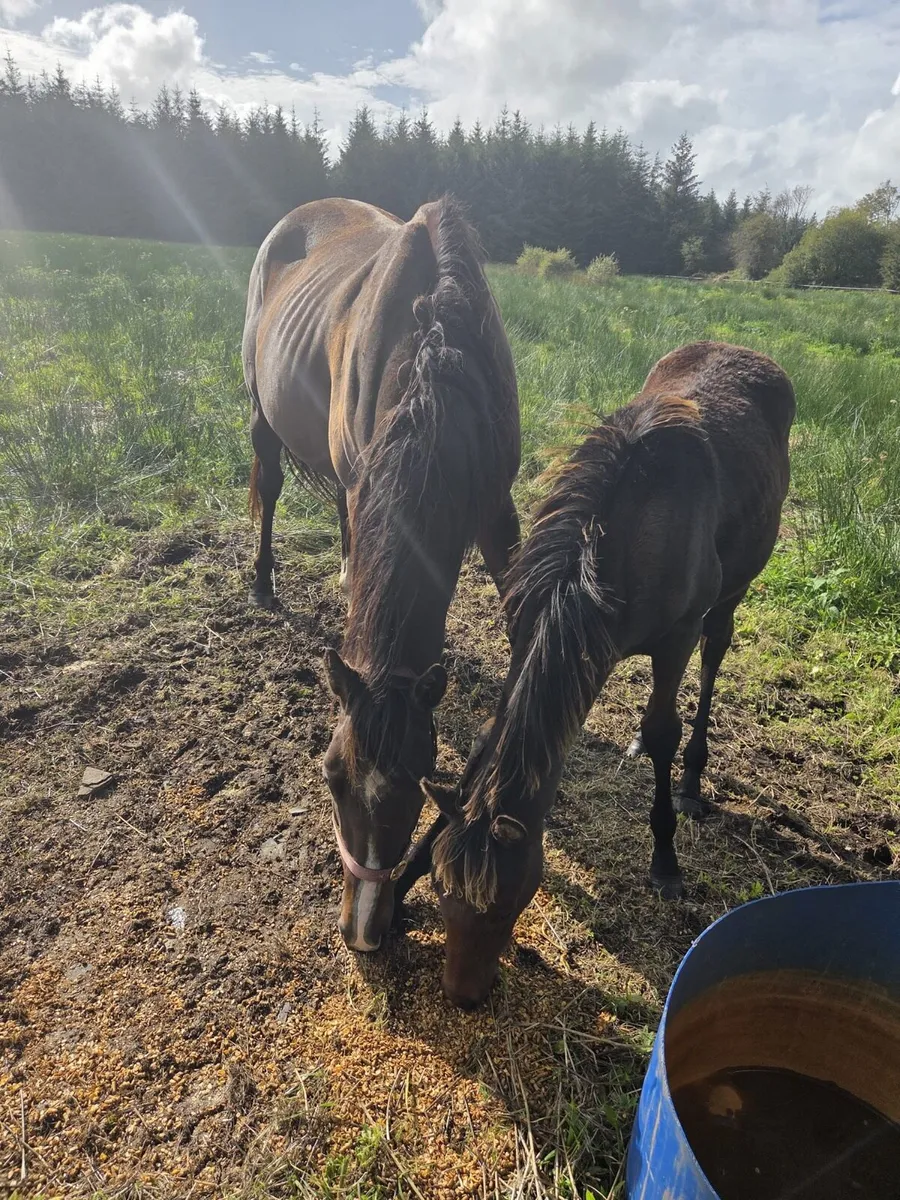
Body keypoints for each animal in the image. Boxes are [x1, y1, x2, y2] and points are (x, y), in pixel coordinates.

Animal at [242, 196, 521, 954]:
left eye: (421, 780)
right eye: (331, 777)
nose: (364, 932)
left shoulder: (495, 508)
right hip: (264, 413)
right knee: (271, 484)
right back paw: (262, 580)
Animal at [409, 341, 795, 1008]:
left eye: (506, 902)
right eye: (440, 885)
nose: (463, 995)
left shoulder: (676, 636)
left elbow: (666, 727)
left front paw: (665, 859)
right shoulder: (525, 628)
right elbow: (486, 738)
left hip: (733, 591)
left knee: (715, 654)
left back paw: (692, 777)